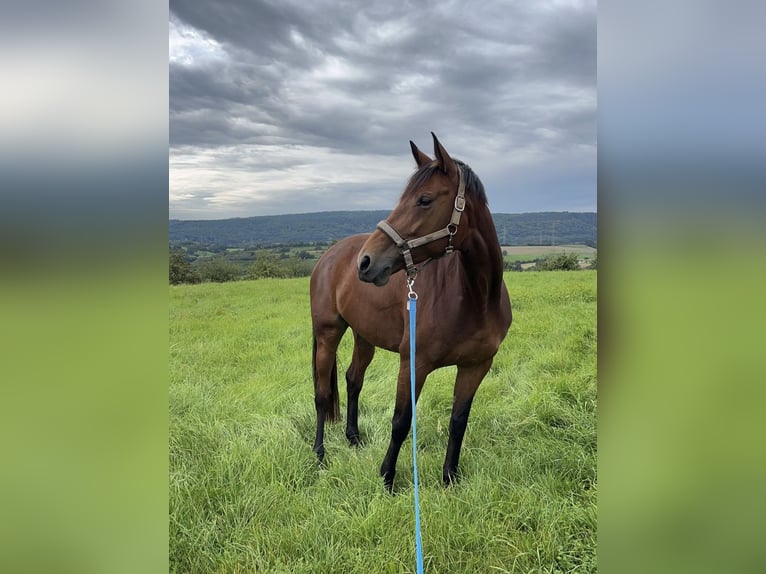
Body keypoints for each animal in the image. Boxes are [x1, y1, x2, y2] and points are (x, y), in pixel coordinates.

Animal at [308, 134, 512, 490]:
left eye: (425, 200)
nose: (365, 262)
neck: (475, 299)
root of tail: (329, 256)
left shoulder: (476, 366)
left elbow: (458, 421)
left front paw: (449, 478)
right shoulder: (413, 362)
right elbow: (401, 421)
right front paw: (387, 479)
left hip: (364, 335)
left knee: (353, 379)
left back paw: (353, 438)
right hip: (327, 333)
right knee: (322, 394)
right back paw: (320, 454)